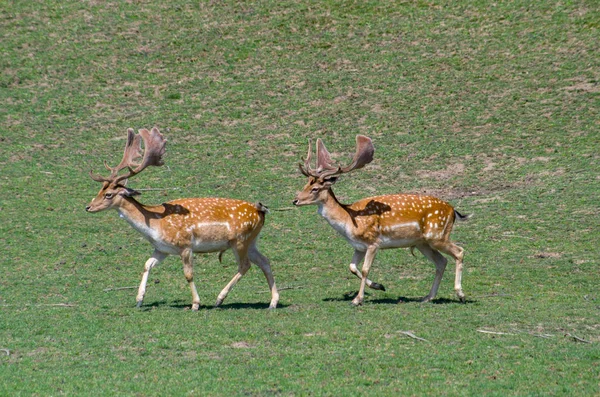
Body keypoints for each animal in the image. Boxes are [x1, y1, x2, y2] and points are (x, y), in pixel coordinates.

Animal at [86, 127, 278, 310]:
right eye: (100, 190)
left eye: (109, 194)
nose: (88, 207)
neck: (155, 224)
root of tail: (260, 210)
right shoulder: (162, 249)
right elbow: (147, 264)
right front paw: (139, 300)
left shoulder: (185, 245)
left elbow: (188, 274)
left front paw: (195, 304)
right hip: (251, 241)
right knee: (264, 261)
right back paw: (273, 302)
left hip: (239, 241)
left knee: (245, 265)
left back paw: (219, 299)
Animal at [292, 135, 472, 304]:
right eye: (305, 184)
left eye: (315, 188)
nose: (295, 200)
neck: (348, 221)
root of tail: (453, 210)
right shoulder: (359, 247)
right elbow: (352, 267)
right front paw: (379, 286)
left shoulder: (373, 242)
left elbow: (365, 269)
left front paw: (357, 299)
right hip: (423, 243)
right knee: (441, 262)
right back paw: (428, 297)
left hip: (437, 235)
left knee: (459, 251)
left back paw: (461, 294)